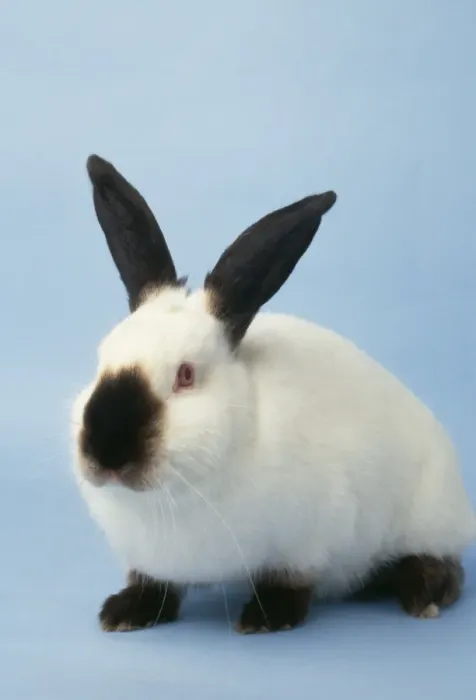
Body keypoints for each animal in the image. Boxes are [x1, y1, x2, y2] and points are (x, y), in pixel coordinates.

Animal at [71, 154, 476, 635]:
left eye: (185, 375)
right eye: (102, 359)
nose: (107, 453)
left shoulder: (310, 538)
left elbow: (291, 580)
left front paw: (266, 618)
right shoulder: (151, 558)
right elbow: (154, 583)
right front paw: (124, 611)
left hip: (430, 516)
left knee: (443, 563)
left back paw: (424, 595)